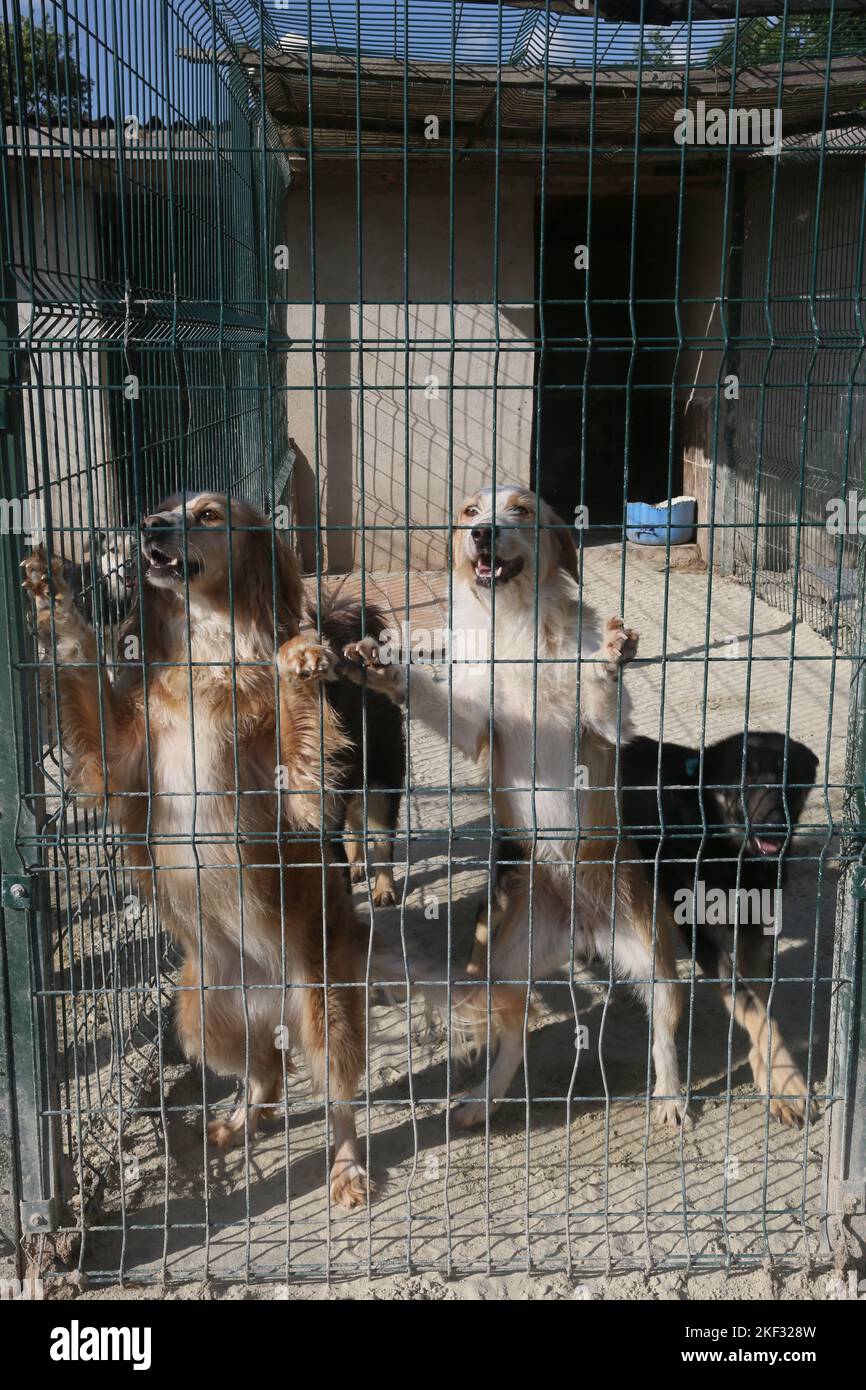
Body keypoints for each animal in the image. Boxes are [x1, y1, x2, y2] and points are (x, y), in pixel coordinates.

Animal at [22, 497, 369, 1206]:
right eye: (163, 509)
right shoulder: (117, 763)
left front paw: (299, 653)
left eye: (208, 513)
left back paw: (347, 1169)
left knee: (337, 1097)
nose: (149, 525)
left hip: (328, 1011)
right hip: (200, 1016)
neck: (209, 652)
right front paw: (52, 595)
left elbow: (298, 719)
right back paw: (236, 1123)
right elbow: (77, 655)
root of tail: (270, 1001)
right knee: (265, 1072)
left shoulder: (300, 796)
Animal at [346, 486, 683, 1128]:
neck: (517, 627)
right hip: (505, 960)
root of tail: (584, 926)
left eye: (522, 510)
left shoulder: (604, 729)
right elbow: (438, 701)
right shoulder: (478, 724)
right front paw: (386, 668)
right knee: (514, 1033)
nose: (483, 535)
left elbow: (601, 695)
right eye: (471, 512)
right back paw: (483, 1100)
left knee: (666, 1026)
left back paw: (672, 1096)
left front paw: (611, 655)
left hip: (650, 951)